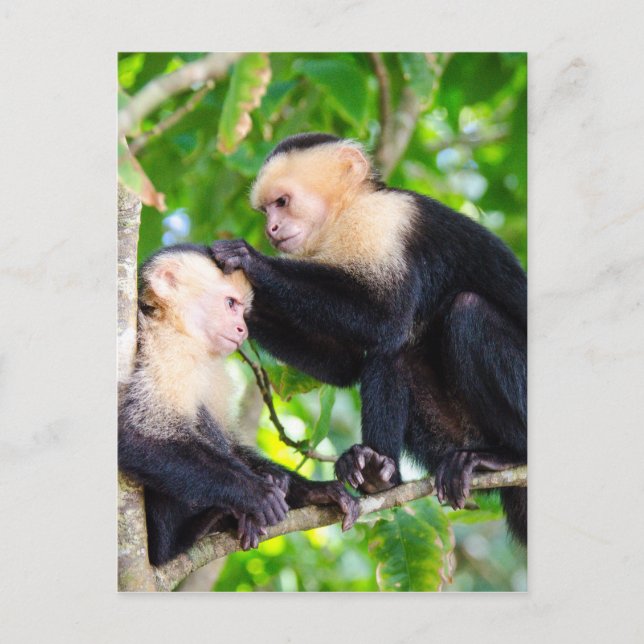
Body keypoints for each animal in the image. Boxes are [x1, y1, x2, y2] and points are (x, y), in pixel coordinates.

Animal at [118, 243, 359, 566]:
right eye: (230, 303)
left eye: (244, 311)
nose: (242, 329)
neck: (182, 333)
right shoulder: (166, 351)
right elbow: (135, 435)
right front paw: (257, 493)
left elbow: (230, 444)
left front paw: (315, 491)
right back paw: (184, 537)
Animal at [211, 133, 527, 544]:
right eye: (265, 211)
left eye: (282, 203)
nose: (271, 230)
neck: (345, 212)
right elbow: (345, 363)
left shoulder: (381, 220)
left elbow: (384, 316)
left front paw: (247, 259)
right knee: (396, 351)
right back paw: (379, 473)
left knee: (462, 313)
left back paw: (508, 456)